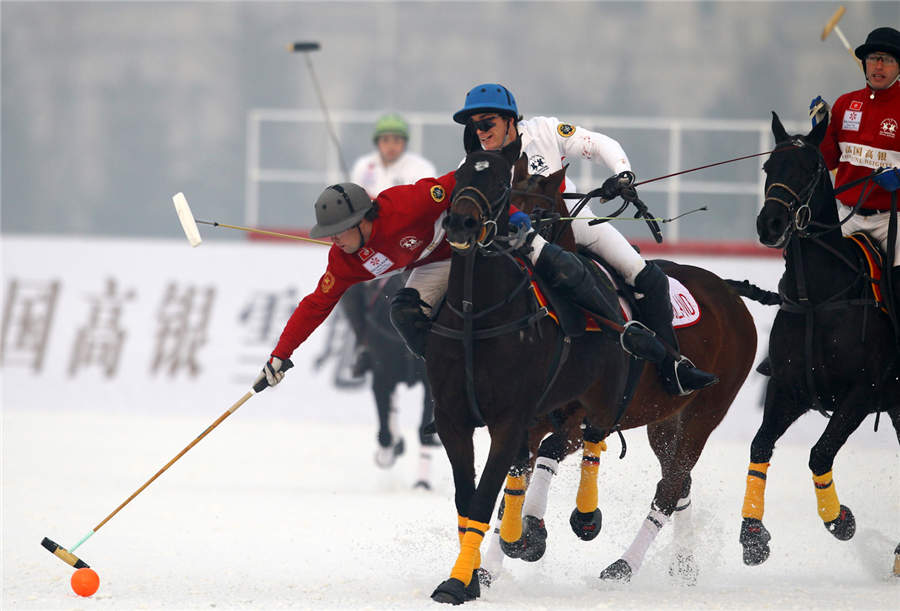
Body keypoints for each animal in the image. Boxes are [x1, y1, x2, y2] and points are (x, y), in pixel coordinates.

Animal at [426, 141, 756, 604]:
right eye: (457, 178)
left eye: (539, 210)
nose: (462, 224)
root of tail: (728, 289)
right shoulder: (479, 420)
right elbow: (503, 487)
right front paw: (490, 564)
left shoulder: (550, 415)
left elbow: (524, 471)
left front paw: (531, 536)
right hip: (663, 422)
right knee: (679, 483)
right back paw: (683, 565)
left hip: (704, 413)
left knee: (668, 486)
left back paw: (621, 563)